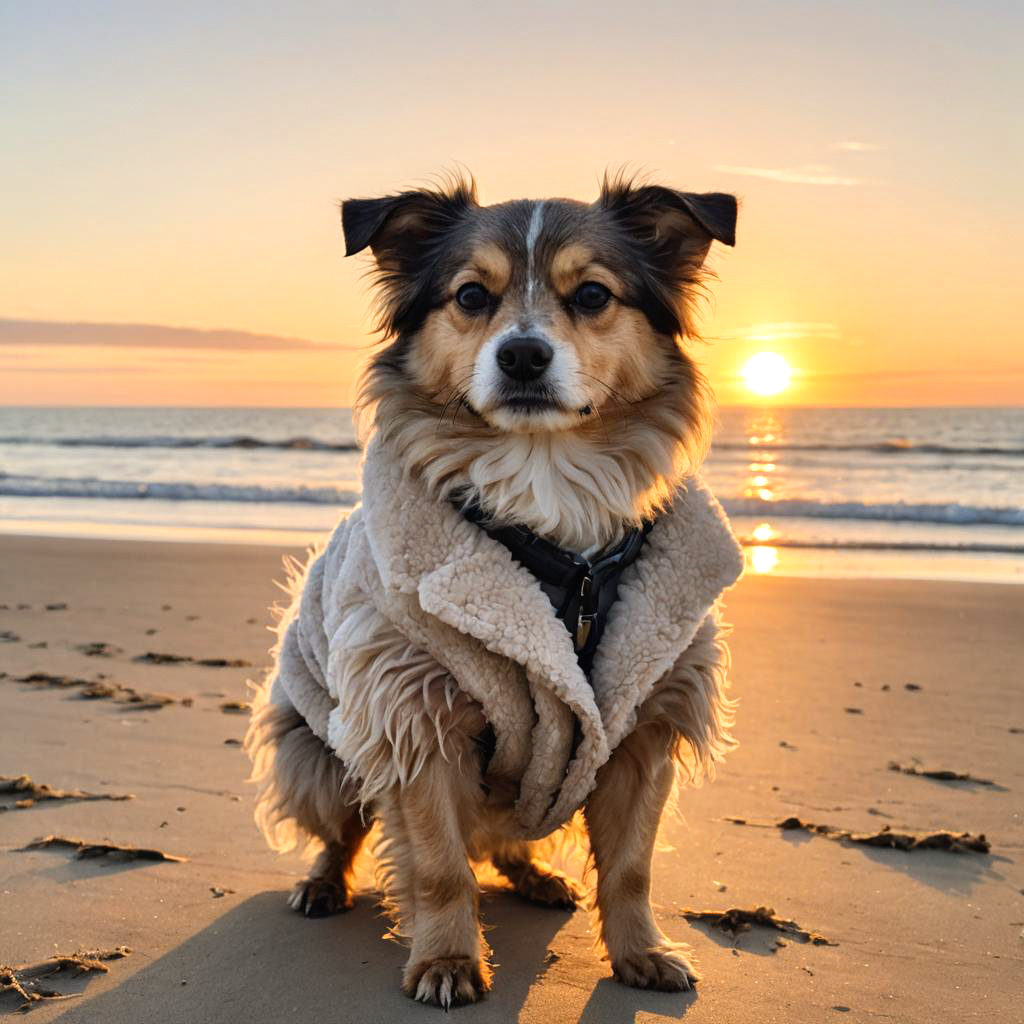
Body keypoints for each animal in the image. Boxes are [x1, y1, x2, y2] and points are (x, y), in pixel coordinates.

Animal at [247, 174, 745, 1007]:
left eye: (593, 295)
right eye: (471, 296)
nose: (521, 354)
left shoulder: (643, 722)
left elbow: (632, 869)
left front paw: (640, 951)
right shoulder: (413, 713)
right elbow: (441, 868)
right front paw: (447, 958)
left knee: (508, 839)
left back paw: (534, 875)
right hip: (318, 755)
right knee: (345, 826)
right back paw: (323, 883)